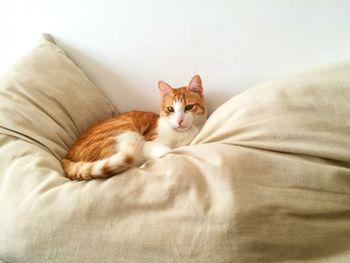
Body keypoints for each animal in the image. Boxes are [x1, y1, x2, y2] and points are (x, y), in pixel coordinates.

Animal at [61, 75, 206, 180]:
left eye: (188, 107)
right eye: (170, 109)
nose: (179, 121)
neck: (180, 135)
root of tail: (67, 156)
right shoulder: (148, 143)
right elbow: (168, 151)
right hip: (127, 132)